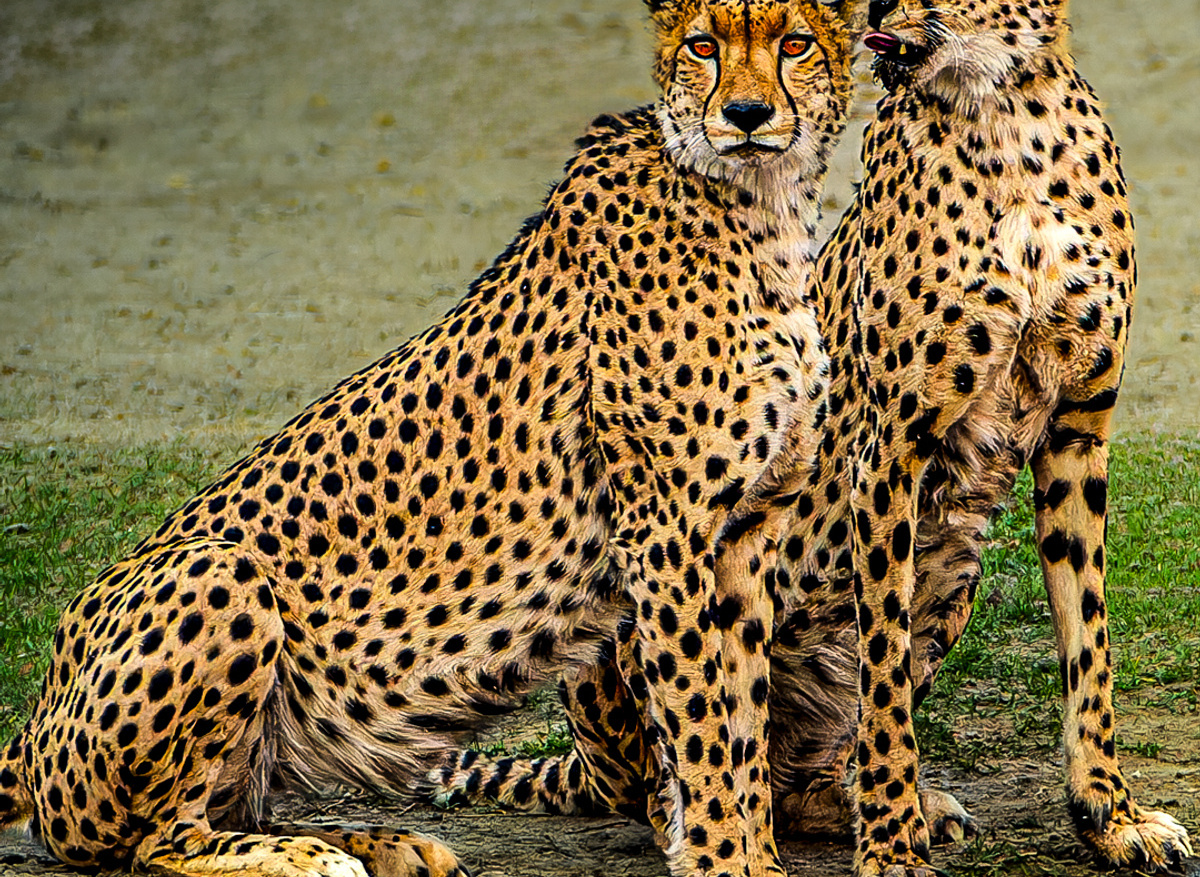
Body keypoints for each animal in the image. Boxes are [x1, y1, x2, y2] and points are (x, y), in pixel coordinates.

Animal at [0, 2, 866, 877]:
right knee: (155, 840)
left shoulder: (748, 529)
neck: (760, 204)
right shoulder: (668, 531)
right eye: (703, 45)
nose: (747, 115)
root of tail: (34, 718)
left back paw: (390, 843)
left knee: (230, 805)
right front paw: (725, 857)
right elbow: (701, 722)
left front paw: (753, 851)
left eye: (795, 43)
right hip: (217, 570)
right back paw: (313, 856)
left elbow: (742, 718)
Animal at [432, 1, 1196, 875]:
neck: (997, 106)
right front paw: (892, 846)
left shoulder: (1078, 429)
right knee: (679, 772)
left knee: (789, 766)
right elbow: (884, 674)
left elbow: (1087, 640)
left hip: (954, 565)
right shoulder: (891, 450)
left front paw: (1111, 816)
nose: (871, 13)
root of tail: (589, 768)